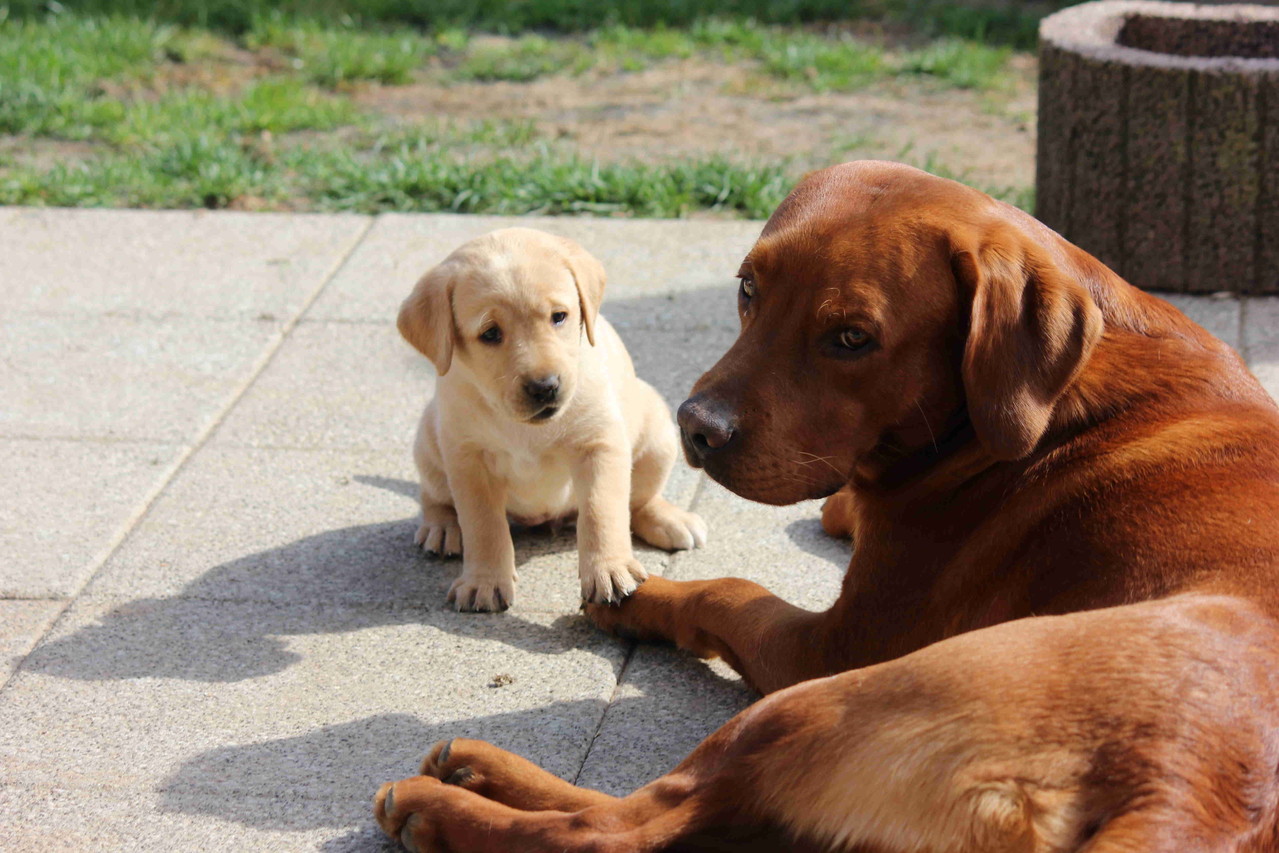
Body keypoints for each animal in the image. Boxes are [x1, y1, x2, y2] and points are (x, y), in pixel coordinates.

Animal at [396, 228, 706, 613]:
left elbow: (602, 511)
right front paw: (484, 581)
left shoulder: (599, 444)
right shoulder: (468, 458)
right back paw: (441, 527)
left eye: (559, 316)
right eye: (490, 333)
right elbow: (483, 524)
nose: (545, 387)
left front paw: (610, 570)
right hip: (429, 438)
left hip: (658, 431)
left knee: (638, 502)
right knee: (433, 495)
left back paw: (669, 519)